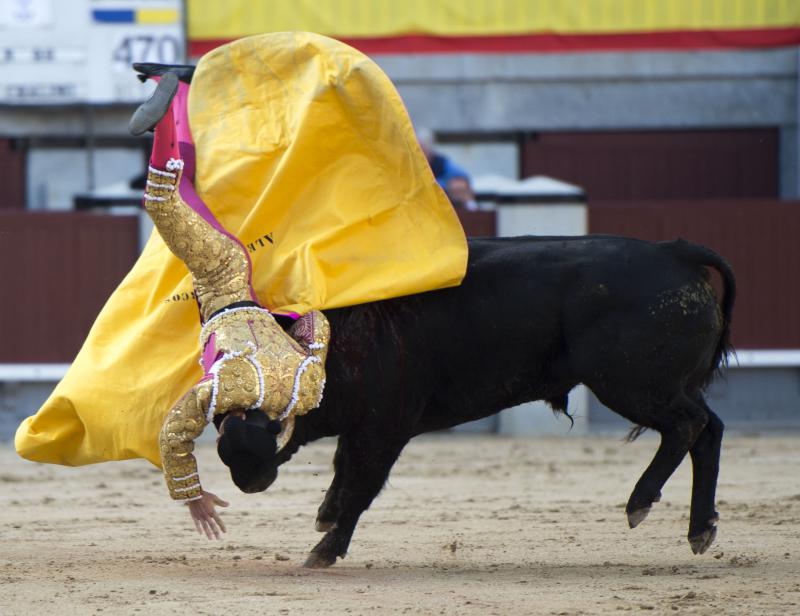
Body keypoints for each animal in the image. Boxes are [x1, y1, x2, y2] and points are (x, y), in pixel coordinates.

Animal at [261, 235, 735, 568]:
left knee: (688, 424)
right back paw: (700, 528)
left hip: (631, 384)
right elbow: (344, 472)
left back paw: (640, 501)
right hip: (669, 384)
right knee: (710, 429)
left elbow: (360, 486)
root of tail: (673, 252)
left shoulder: (385, 427)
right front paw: (326, 516)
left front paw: (324, 550)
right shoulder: (363, 427)